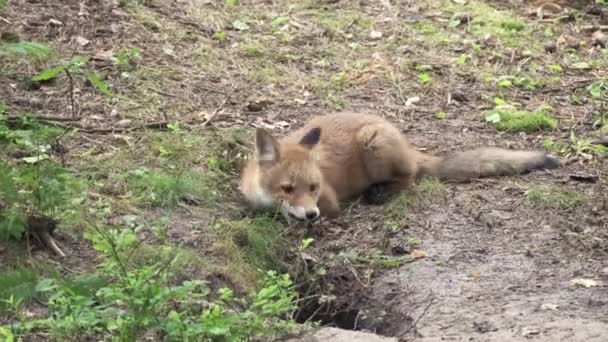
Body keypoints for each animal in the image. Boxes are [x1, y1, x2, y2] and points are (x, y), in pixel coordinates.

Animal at [239, 112, 560, 223]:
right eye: (287, 188)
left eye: (314, 188)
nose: (312, 215)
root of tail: (407, 144)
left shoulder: (329, 201)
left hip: (374, 143)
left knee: (412, 177)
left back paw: (381, 192)